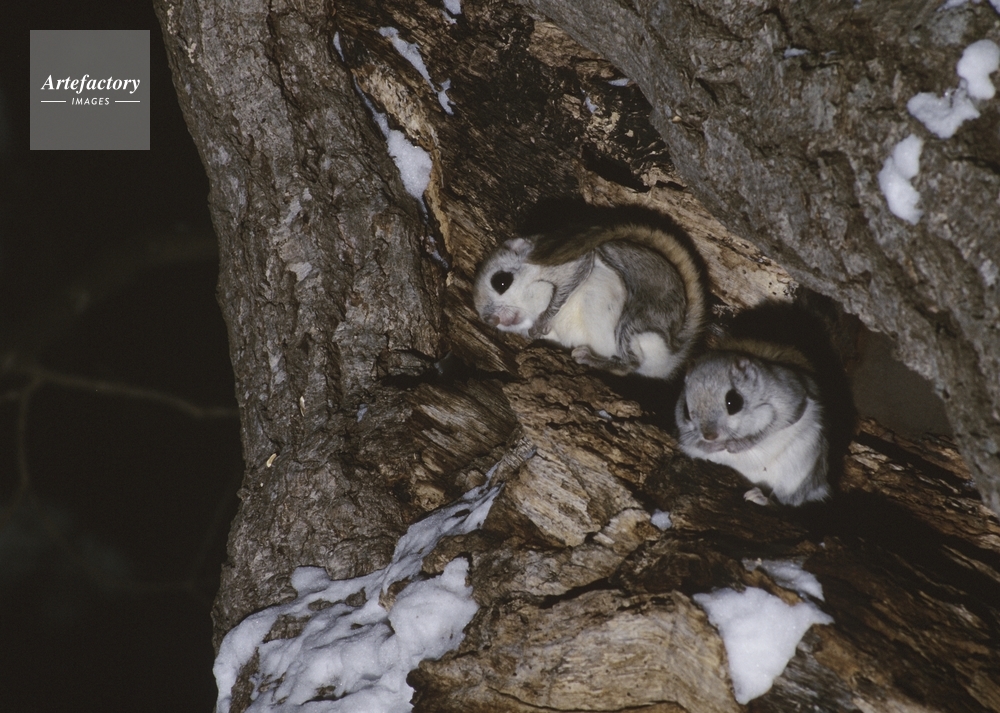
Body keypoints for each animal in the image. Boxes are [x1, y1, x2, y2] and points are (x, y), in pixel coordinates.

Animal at [473, 223, 706, 380]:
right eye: (484, 318)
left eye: (501, 281)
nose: (493, 320)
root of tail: (672, 352)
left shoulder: (572, 264)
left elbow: (569, 282)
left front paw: (543, 319)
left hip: (632, 323)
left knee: (629, 364)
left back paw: (590, 358)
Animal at [674, 337, 831, 506]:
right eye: (685, 410)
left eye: (733, 402)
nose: (710, 436)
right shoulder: (683, 435)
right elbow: (693, 443)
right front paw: (712, 446)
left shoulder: (789, 398)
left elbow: (772, 428)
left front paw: (738, 444)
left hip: (798, 469)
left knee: (787, 499)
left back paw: (762, 497)